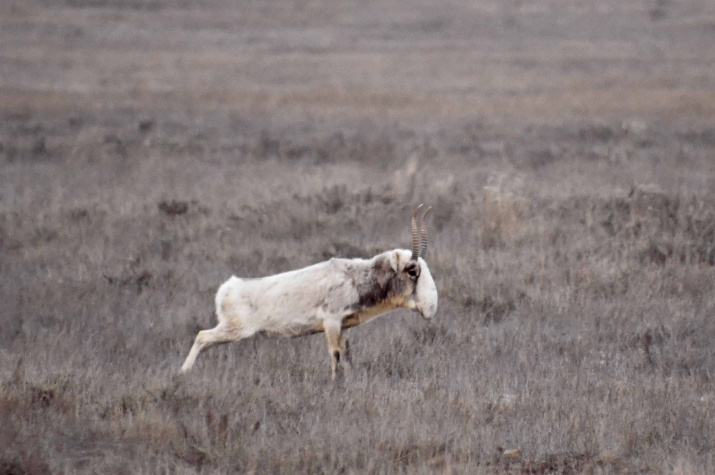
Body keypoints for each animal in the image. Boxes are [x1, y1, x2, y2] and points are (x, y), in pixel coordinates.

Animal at [180, 205, 436, 380]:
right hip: (235, 330)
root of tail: (227, 288)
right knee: (202, 336)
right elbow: (335, 354)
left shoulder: (343, 327)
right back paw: (182, 374)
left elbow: (347, 356)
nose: (430, 308)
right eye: (412, 271)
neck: (354, 276)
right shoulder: (331, 323)